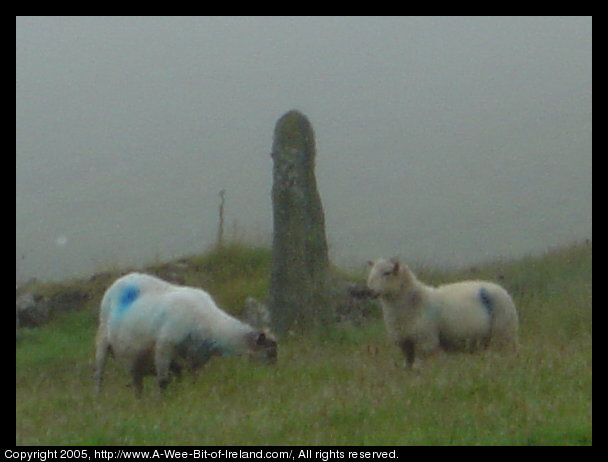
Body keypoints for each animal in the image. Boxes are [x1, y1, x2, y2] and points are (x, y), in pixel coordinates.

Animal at [94, 270, 276, 398]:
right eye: (269, 354)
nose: (274, 377)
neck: (212, 325)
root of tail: (121, 279)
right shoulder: (164, 348)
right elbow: (162, 381)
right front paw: (161, 403)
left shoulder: (195, 360)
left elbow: (190, 380)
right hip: (103, 339)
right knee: (99, 376)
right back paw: (99, 400)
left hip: (135, 360)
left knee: (137, 383)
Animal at [366, 258, 516, 370]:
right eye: (371, 272)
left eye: (387, 272)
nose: (370, 291)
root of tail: (501, 289)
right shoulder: (405, 344)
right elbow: (408, 367)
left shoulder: (427, 343)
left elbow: (420, 367)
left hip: (504, 334)